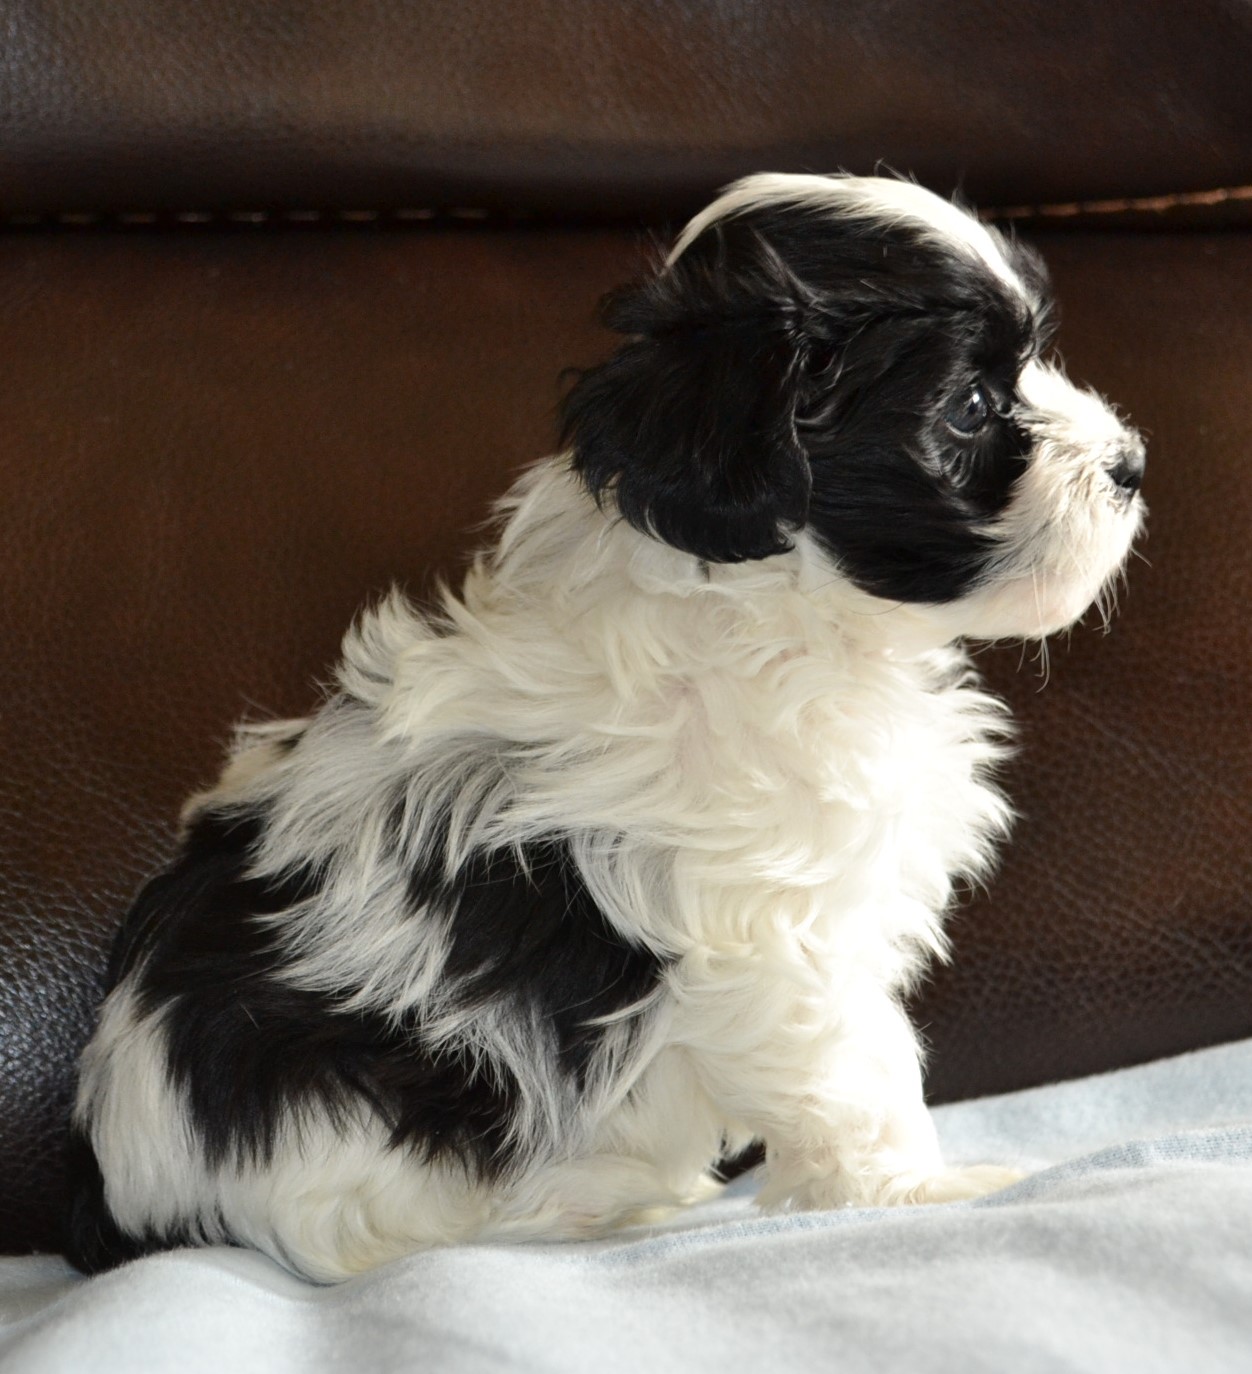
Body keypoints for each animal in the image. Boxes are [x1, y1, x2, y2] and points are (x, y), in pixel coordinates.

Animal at [65, 171, 1143, 1275]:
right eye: (971, 406)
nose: (1131, 463)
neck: (788, 609)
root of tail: (128, 1194)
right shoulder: (772, 930)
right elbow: (862, 1066)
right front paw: (914, 1191)